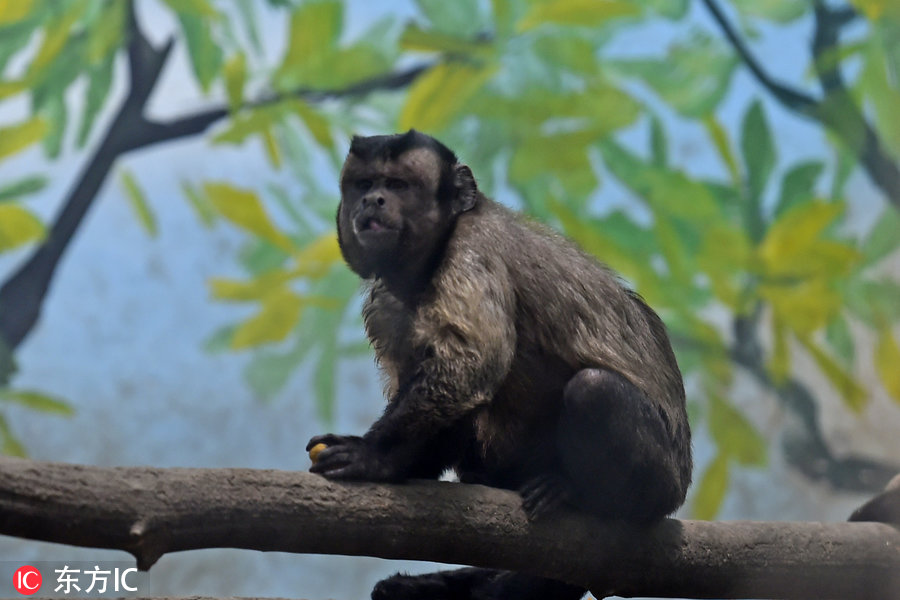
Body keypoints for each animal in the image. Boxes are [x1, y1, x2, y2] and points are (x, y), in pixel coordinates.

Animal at [306, 130, 692, 600]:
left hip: (665, 483)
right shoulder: (388, 303)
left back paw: (580, 496)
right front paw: (395, 467)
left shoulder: (472, 248)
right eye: (364, 184)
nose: (373, 201)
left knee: (594, 390)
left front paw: (372, 454)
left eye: (397, 186)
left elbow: (472, 363)